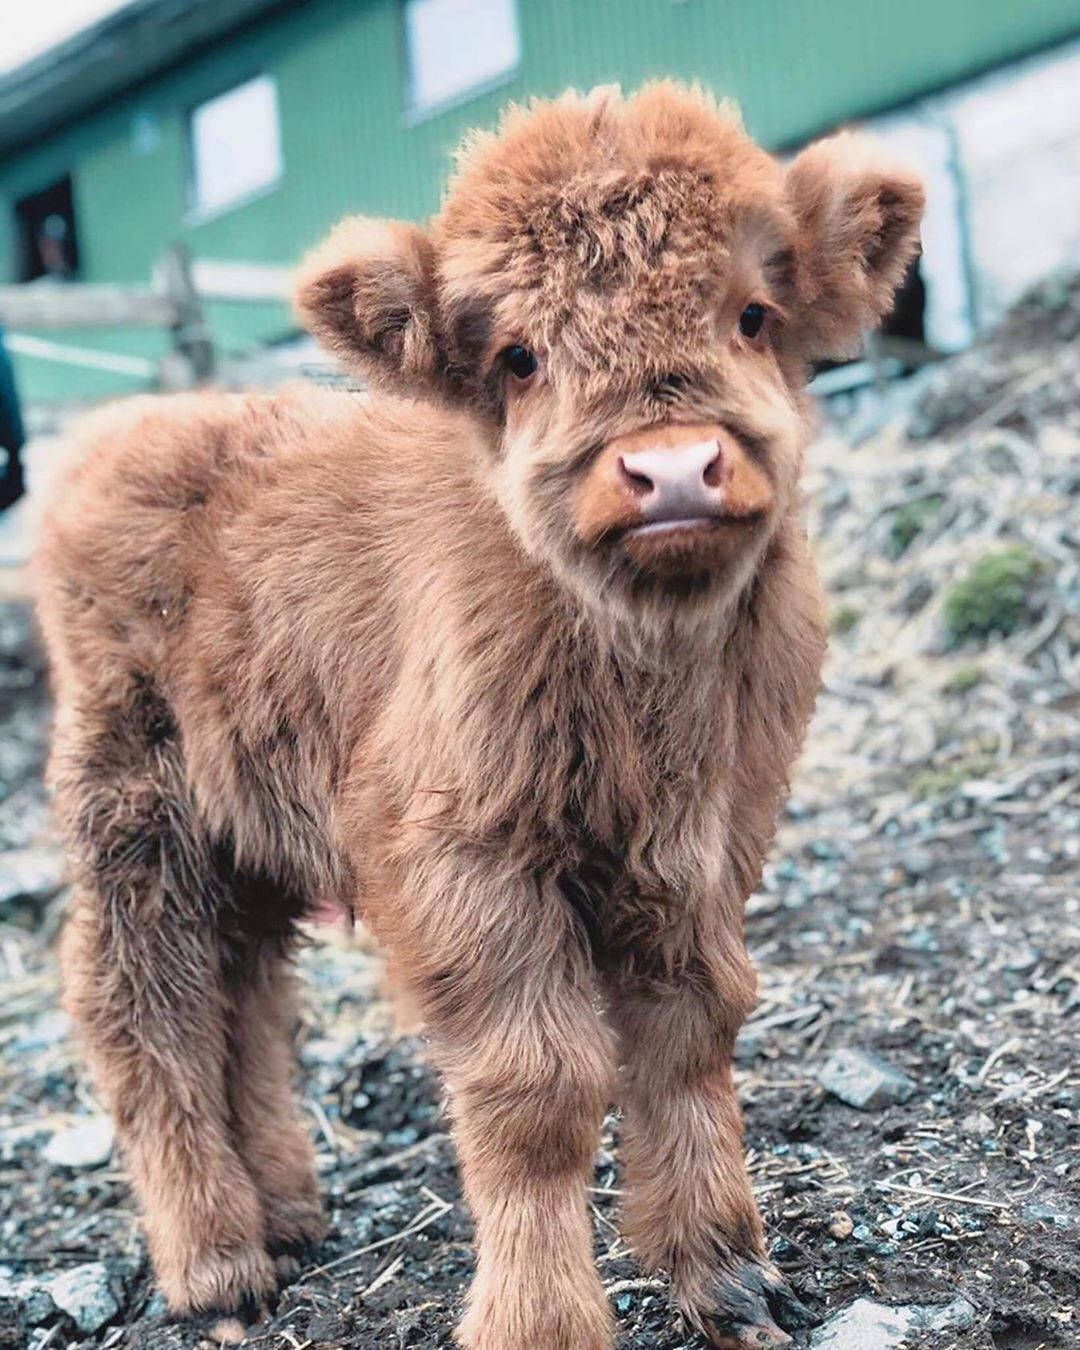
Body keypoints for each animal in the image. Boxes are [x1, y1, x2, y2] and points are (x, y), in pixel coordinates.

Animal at [35, 83, 922, 1349]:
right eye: (518, 355)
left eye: (754, 314)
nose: (673, 468)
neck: (648, 685)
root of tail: (121, 432)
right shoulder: (463, 852)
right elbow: (538, 1087)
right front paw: (542, 1317)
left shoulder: (708, 841)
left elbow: (693, 1031)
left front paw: (725, 1271)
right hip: (133, 806)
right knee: (142, 1002)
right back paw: (214, 1258)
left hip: (244, 819)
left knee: (244, 997)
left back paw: (288, 1212)